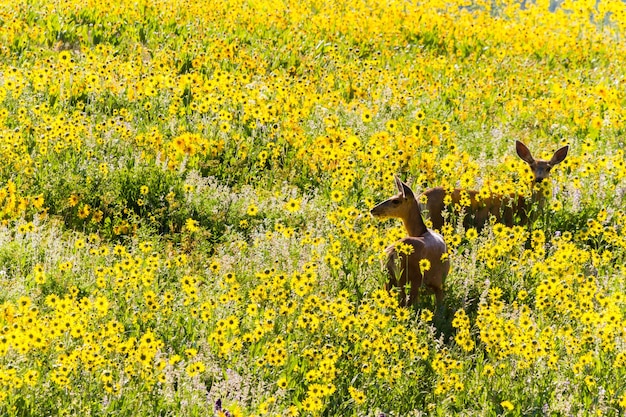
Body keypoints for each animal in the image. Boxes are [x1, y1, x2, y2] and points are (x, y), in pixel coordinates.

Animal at [370, 174, 448, 308]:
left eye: (396, 200)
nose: (373, 210)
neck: (422, 231)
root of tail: (391, 254)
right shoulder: (438, 282)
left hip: (395, 279)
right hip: (410, 279)